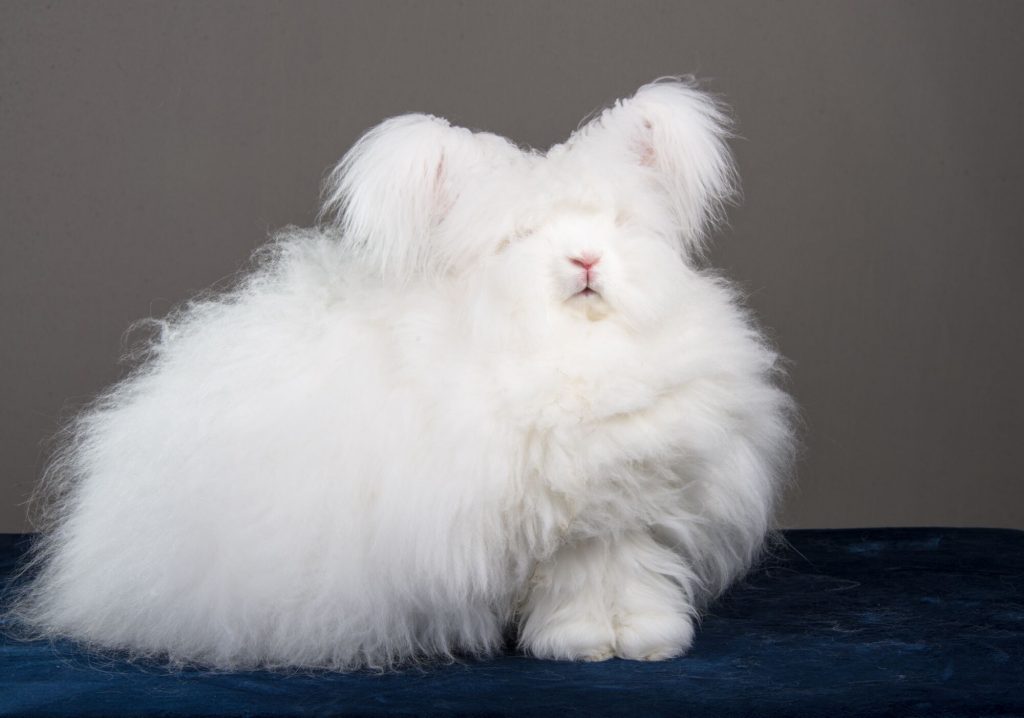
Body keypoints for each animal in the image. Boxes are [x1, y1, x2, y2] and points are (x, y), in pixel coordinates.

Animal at [9, 78, 795, 670]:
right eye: (518, 239)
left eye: (620, 223)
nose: (585, 260)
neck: (574, 353)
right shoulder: (561, 528)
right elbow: (575, 588)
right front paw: (577, 646)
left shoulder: (624, 522)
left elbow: (621, 580)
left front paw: (640, 643)